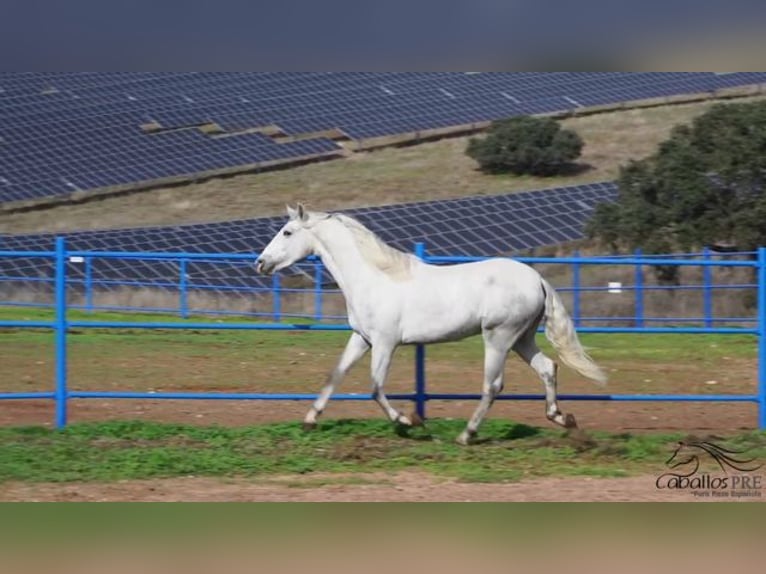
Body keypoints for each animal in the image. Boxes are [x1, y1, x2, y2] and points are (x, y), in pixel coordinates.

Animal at [256, 205, 608, 448]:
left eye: (287, 232)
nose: (261, 263)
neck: (374, 278)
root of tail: (536, 279)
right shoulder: (362, 339)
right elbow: (335, 376)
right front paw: (309, 420)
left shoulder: (385, 343)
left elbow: (375, 387)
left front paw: (409, 421)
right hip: (522, 338)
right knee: (548, 367)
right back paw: (562, 418)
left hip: (499, 337)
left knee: (493, 386)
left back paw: (466, 435)